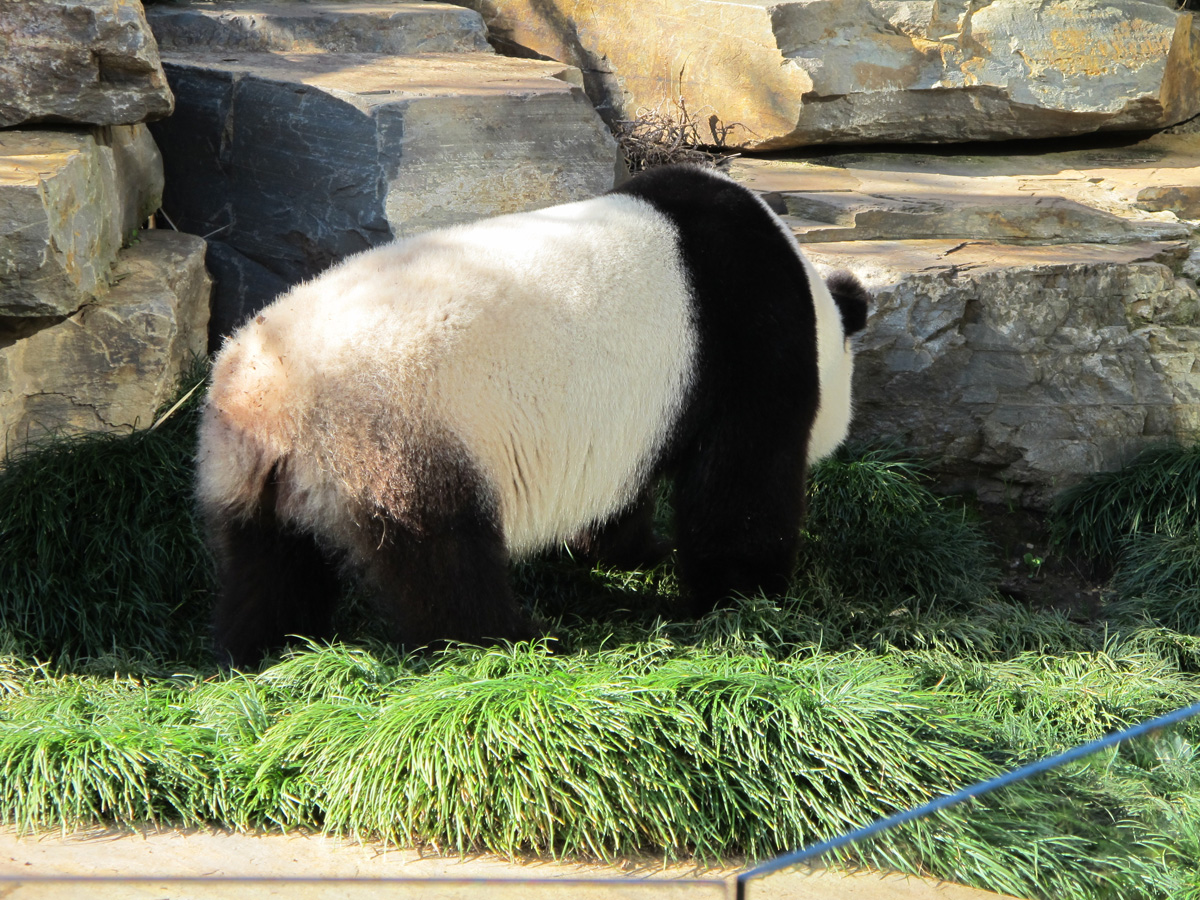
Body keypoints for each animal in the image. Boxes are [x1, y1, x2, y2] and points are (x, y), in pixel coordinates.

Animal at [195, 164, 870, 666]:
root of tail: (273, 396)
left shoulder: (630, 416)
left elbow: (619, 492)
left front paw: (636, 553)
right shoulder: (749, 343)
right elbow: (740, 486)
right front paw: (748, 595)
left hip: (251, 472)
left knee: (269, 566)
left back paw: (258, 652)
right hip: (397, 434)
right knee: (443, 558)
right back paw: (511, 642)